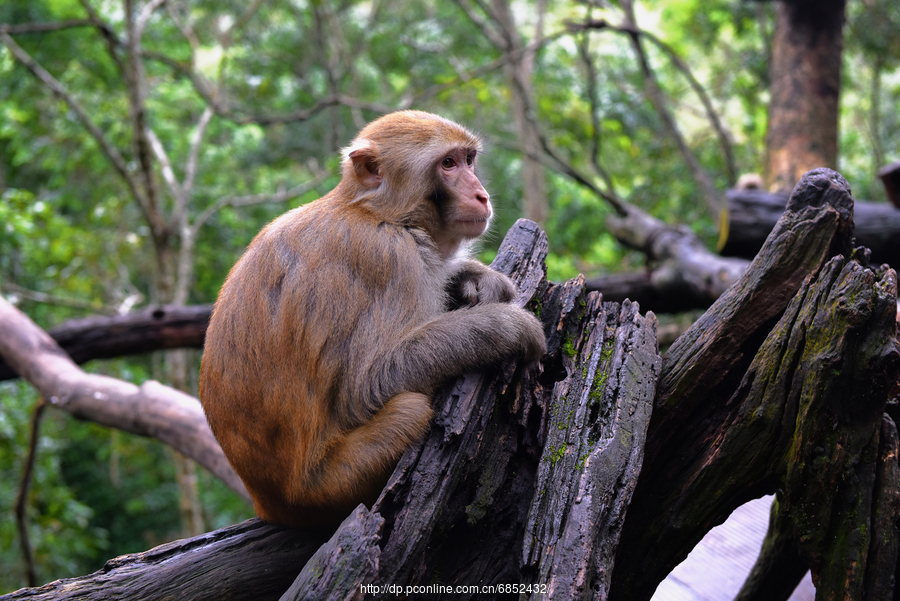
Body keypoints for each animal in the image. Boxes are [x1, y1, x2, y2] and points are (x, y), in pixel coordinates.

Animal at [200, 110, 544, 528]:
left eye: (468, 159)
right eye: (448, 164)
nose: (481, 194)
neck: (374, 212)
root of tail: (267, 503)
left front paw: (474, 278)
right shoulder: (390, 258)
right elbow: (365, 388)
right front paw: (509, 326)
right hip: (332, 483)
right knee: (410, 410)